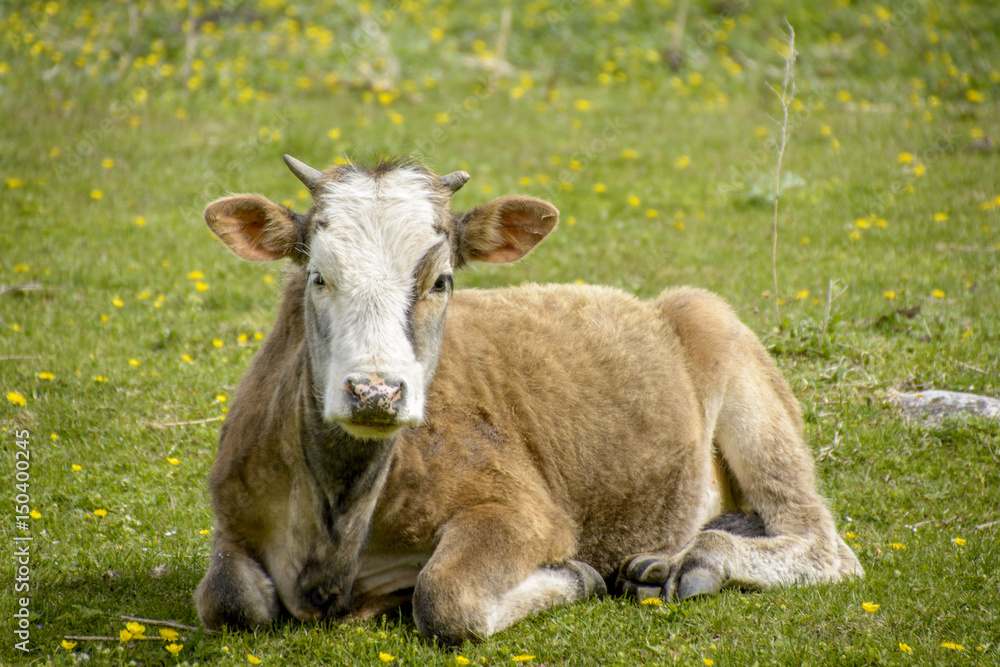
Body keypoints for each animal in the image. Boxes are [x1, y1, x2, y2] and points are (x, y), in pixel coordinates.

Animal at [194, 154, 862, 645]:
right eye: (318, 277)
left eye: (442, 280)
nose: (375, 391)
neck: (338, 520)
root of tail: (653, 302)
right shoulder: (232, 515)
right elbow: (228, 599)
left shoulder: (522, 510)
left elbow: (448, 600)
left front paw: (574, 574)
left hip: (732, 355)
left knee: (823, 544)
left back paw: (692, 561)